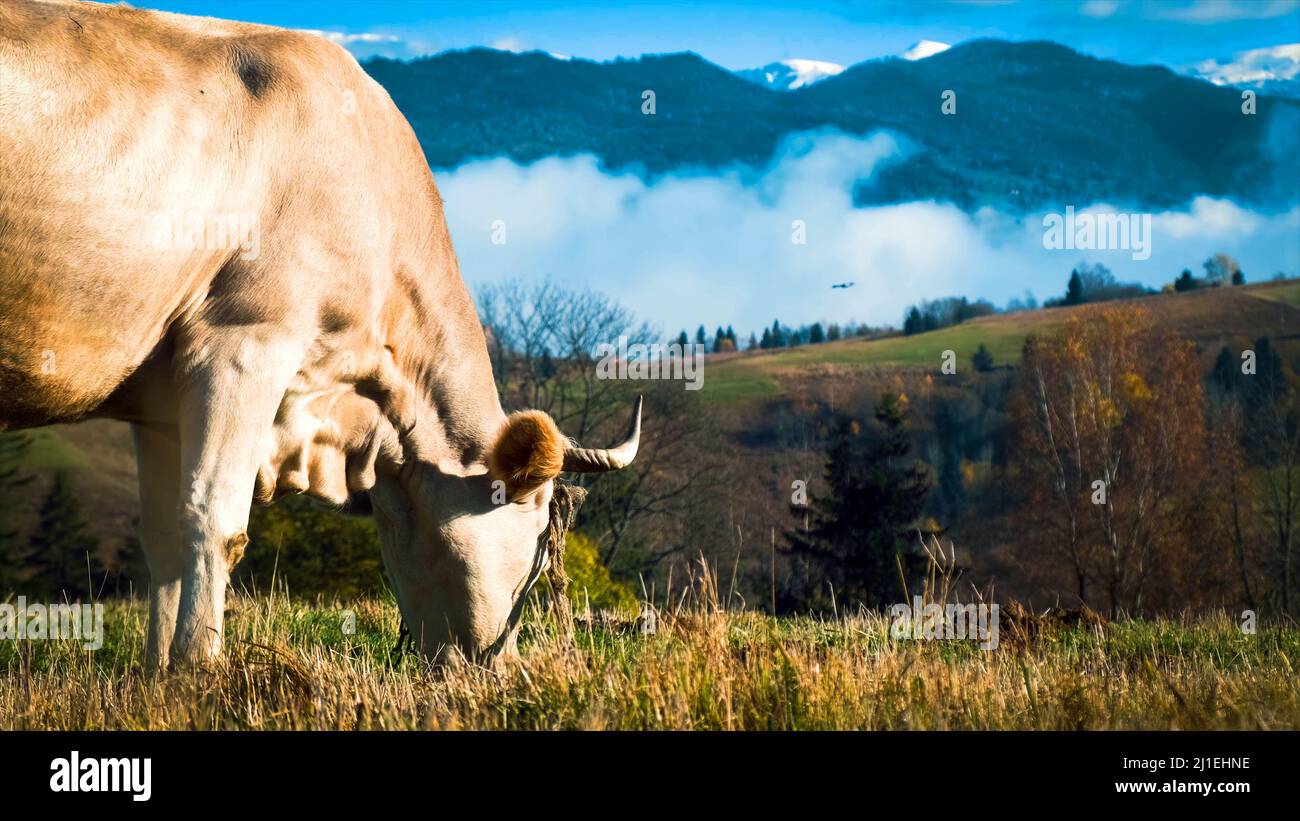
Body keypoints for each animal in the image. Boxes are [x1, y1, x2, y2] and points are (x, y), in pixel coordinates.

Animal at [0, 0, 640, 667]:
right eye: (539, 543)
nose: (501, 664)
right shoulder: (244, 344)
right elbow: (214, 519)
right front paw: (198, 669)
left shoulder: (159, 403)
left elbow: (165, 541)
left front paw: (157, 676)